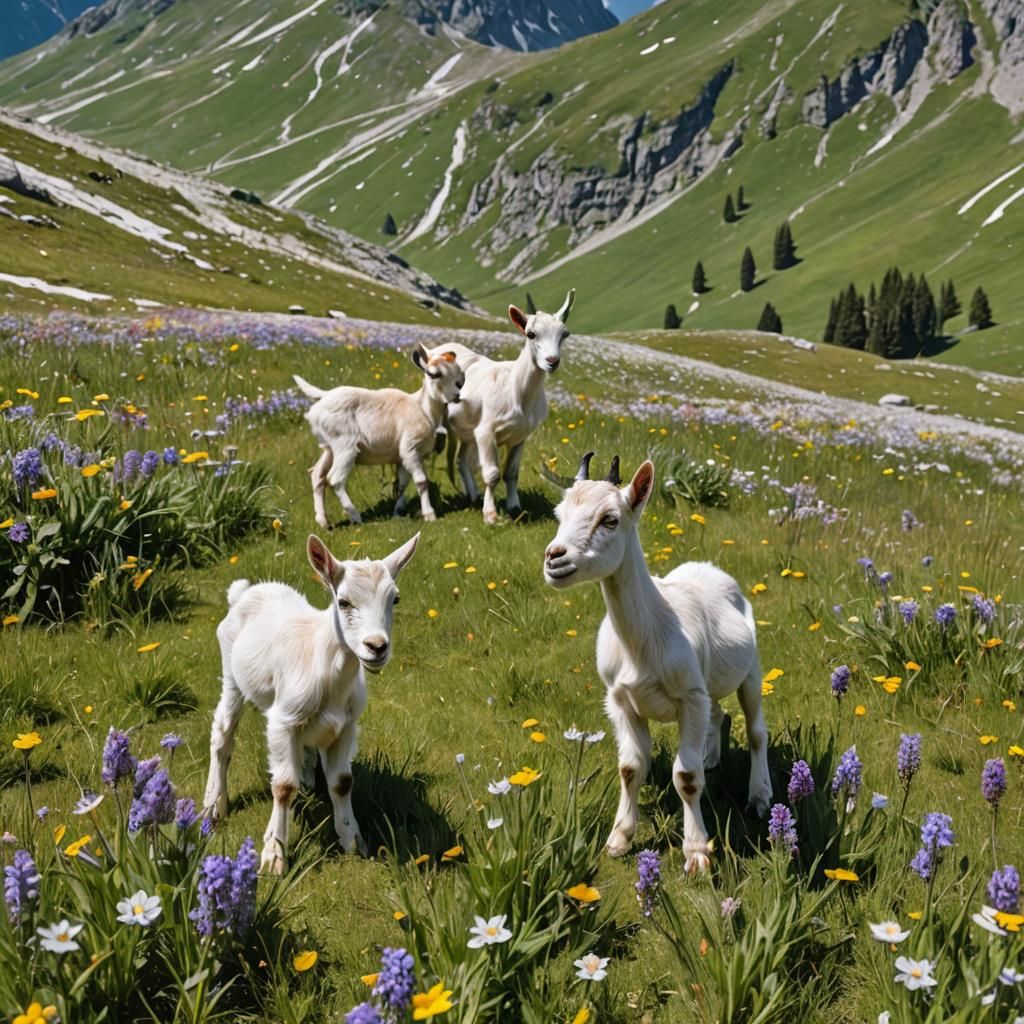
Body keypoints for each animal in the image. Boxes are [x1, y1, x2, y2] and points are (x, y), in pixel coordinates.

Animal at [201, 532, 419, 874]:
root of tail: (244, 592)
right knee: (222, 734)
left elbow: (342, 782)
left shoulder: (347, 725)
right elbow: (282, 786)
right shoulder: (282, 721)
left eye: (394, 600)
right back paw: (214, 805)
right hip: (232, 675)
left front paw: (352, 841)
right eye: (343, 602)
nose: (377, 647)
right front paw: (274, 855)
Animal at [293, 343, 464, 527]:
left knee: (317, 474)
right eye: (433, 374)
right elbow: (421, 481)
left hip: (329, 448)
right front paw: (430, 515)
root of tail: (323, 396)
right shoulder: (410, 449)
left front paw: (397, 512)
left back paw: (324, 522)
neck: (423, 409)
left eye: (459, 373)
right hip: (345, 445)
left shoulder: (402, 456)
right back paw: (355, 517)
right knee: (335, 479)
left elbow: (401, 484)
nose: (456, 396)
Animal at [438, 289, 574, 524]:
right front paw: (490, 514)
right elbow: (492, 474)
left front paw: (514, 507)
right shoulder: (485, 431)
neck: (516, 390)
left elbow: (511, 473)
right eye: (531, 334)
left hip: (467, 429)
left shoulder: (521, 436)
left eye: (564, 334)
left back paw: (472, 495)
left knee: (461, 460)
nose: (552, 361)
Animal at [542, 453, 771, 873]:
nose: (555, 558)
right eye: (559, 514)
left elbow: (686, 776)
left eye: (610, 519)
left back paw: (760, 796)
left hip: (751, 669)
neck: (646, 639)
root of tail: (710, 567)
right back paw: (711, 756)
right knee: (719, 713)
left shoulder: (690, 697)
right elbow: (631, 766)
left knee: (755, 730)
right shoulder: (620, 699)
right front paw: (619, 839)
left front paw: (696, 852)